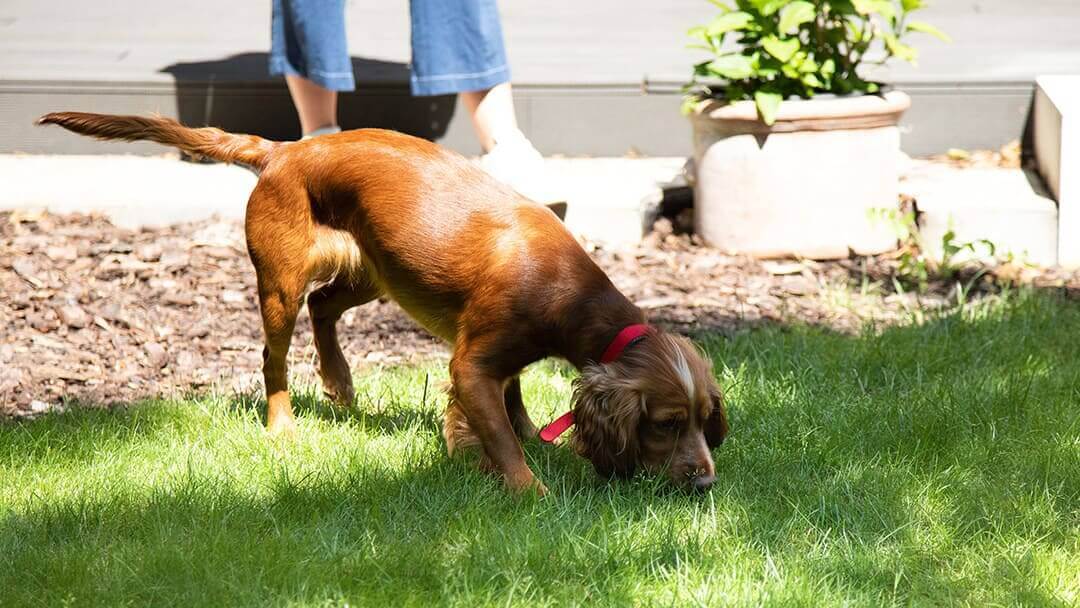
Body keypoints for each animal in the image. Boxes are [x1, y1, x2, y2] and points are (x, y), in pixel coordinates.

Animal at [38, 112, 730, 494]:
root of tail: (283, 149)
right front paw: (531, 492)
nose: (704, 482)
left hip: (377, 269)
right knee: (274, 355)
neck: (569, 290)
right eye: (666, 424)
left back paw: (341, 383)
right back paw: (283, 426)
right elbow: (500, 436)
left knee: (324, 309)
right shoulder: (472, 363)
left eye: (704, 421)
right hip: (281, 282)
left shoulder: (498, 360)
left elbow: (514, 409)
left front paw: (535, 445)